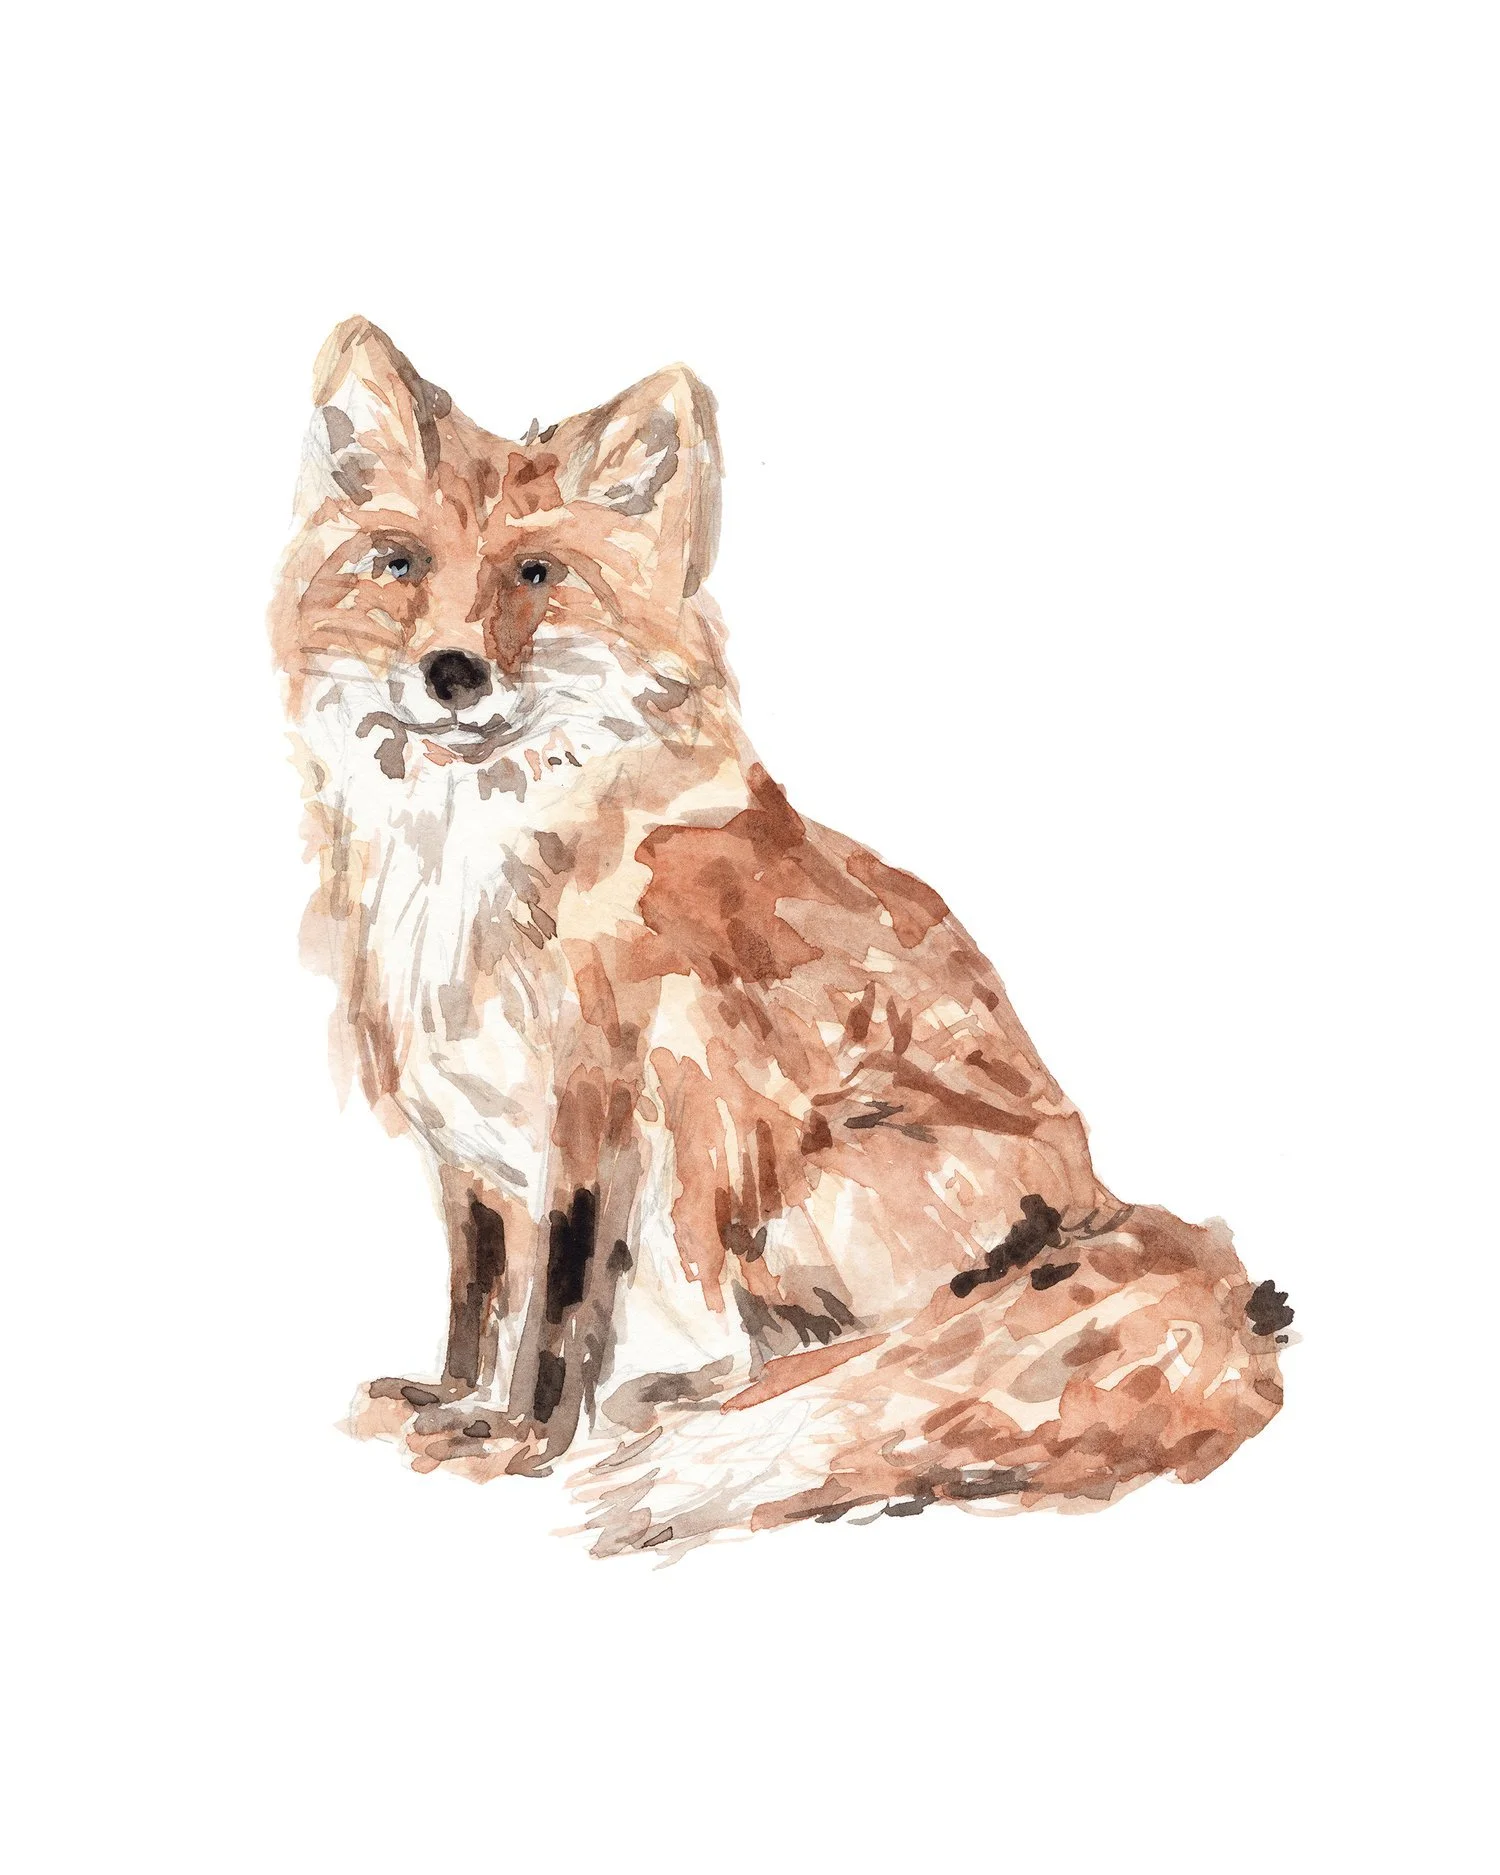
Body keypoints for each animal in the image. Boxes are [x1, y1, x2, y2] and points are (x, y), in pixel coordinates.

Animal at [270, 317, 1290, 1555]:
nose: (451, 673)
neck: (475, 853)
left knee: (887, 1354)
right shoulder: (461, 1130)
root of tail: (1103, 1211)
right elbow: (478, 1296)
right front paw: (453, 1401)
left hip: (772, 1180)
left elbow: (557, 1313)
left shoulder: (596, 1112)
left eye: (537, 575)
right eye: (401, 564)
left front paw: (519, 1446)